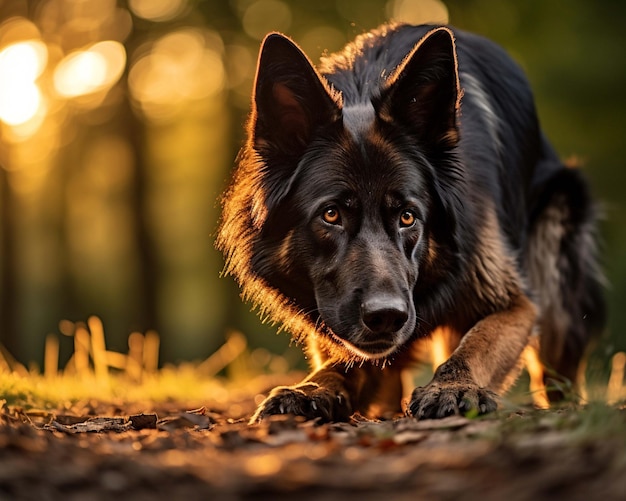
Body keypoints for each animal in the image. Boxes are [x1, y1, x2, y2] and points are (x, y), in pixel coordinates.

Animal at [217, 24, 604, 422]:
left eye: (407, 216)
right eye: (331, 214)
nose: (387, 316)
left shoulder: (514, 303)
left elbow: (476, 344)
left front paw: (454, 385)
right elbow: (344, 362)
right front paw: (313, 387)